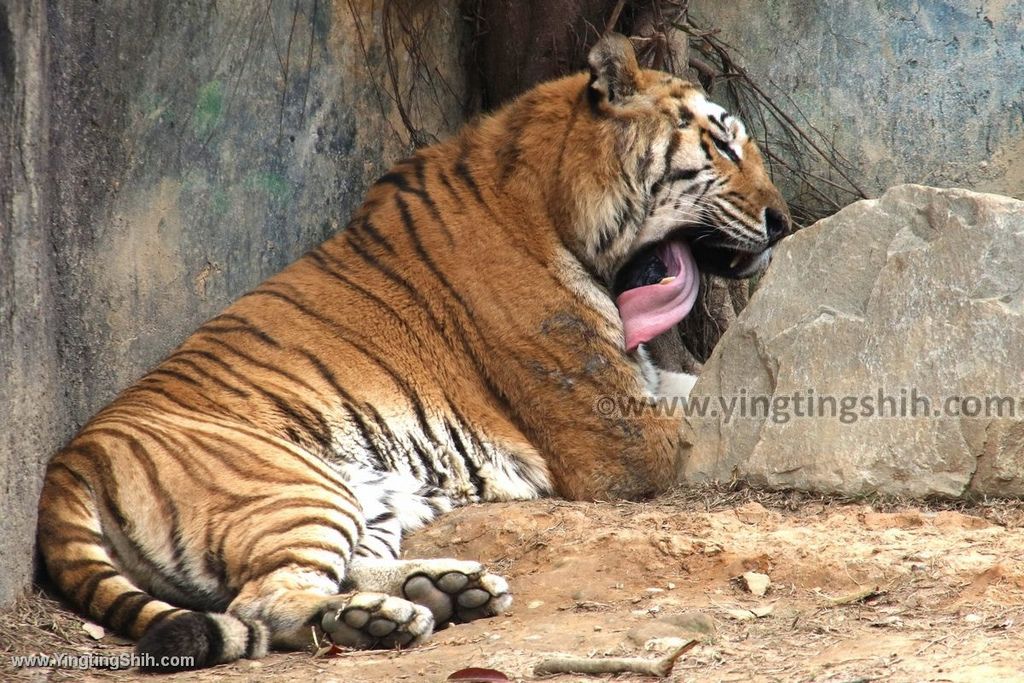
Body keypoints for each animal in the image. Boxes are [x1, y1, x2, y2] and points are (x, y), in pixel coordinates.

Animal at [36, 34, 786, 671]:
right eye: (722, 145)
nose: (782, 222)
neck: (556, 202)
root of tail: (65, 467)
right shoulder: (618, 434)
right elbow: (729, 412)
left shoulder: (647, 384)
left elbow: (713, 384)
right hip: (297, 489)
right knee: (263, 604)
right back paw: (389, 618)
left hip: (365, 493)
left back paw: (445, 588)